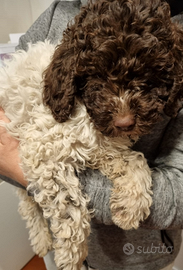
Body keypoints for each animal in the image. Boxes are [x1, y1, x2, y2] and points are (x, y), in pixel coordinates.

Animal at [0, 0, 182, 268]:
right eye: (97, 75)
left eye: (149, 73)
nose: (125, 122)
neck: (83, 106)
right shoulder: (42, 149)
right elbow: (69, 202)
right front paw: (71, 255)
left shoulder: (103, 144)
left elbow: (134, 159)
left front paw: (130, 206)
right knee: (27, 199)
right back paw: (42, 239)